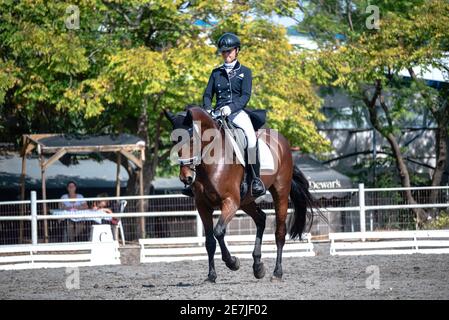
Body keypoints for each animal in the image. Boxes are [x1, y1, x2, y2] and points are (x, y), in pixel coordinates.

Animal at [164, 106, 316, 282]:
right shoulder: (203, 206)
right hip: (246, 201)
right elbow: (209, 241)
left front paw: (233, 263)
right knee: (261, 219)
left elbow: (218, 232)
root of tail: (283, 142)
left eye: (192, 140)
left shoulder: (230, 201)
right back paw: (258, 267)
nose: (186, 177)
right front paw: (211, 275)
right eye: (173, 141)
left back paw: (277, 273)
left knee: (280, 232)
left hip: (280, 192)